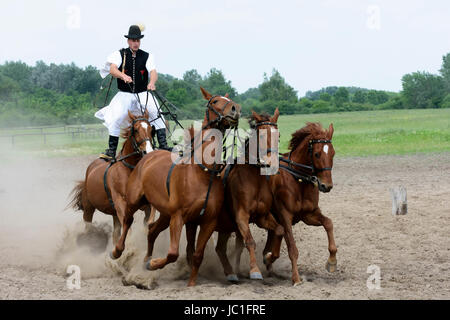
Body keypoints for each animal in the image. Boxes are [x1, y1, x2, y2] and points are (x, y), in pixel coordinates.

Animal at [68, 110, 155, 245]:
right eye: (135, 130)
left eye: (151, 129)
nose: (148, 151)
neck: (129, 171)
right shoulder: (121, 205)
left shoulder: (145, 206)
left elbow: (147, 222)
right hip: (88, 209)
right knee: (88, 226)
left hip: (113, 213)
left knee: (115, 234)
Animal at [112, 86, 243, 286]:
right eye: (215, 101)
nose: (235, 109)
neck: (203, 171)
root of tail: (148, 155)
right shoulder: (178, 217)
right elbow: (173, 253)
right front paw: (154, 264)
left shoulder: (208, 221)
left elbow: (197, 255)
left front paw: (191, 284)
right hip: (135, 201)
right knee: (127, 221)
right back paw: (118, 251)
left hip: (165, 213)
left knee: (152, 231)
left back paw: (145, 259)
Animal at [262, 122, 336, 284]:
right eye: (317, 154)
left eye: (333, 153)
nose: (326, 186)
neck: (297, 179)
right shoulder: (285, 216)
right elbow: (292, 247)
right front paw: (296, 278)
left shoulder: (309, 214)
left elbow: (328, 223)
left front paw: (332, 262)